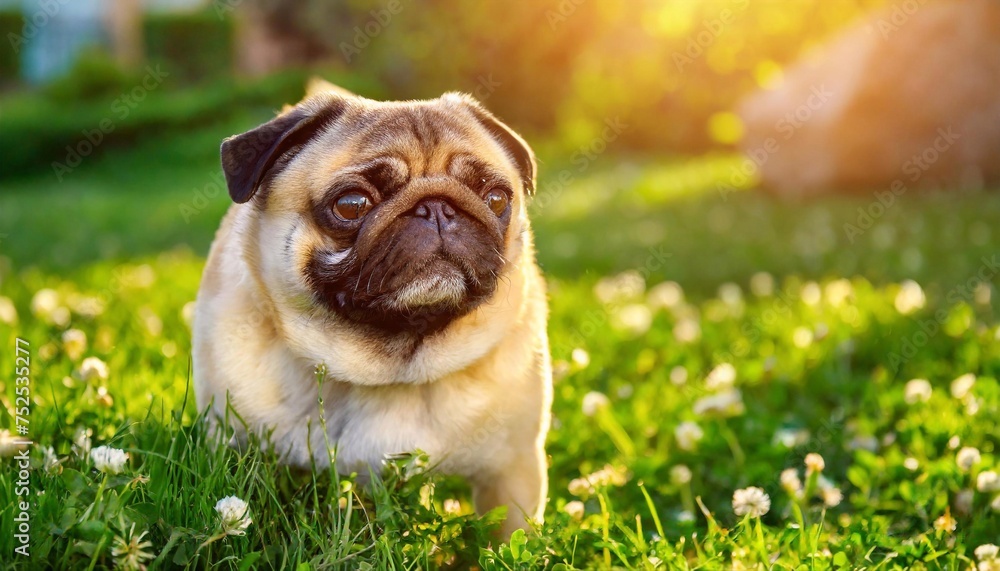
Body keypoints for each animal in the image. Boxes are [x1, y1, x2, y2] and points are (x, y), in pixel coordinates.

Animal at [193, 82, 556, 540]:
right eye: (351, 205)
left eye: (495, 198)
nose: (436, 207)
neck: (395, 369)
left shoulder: (513, 472)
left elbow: (512, 539)